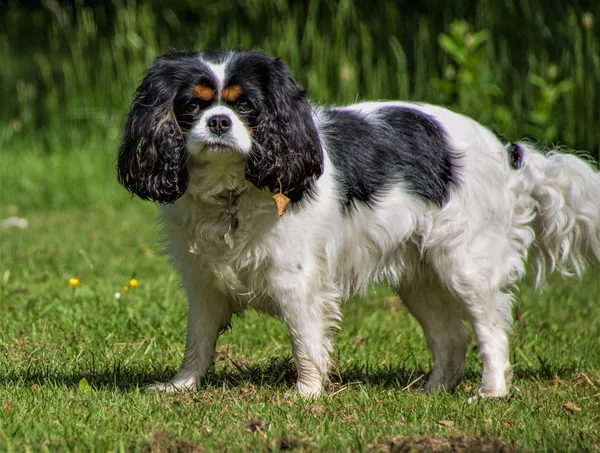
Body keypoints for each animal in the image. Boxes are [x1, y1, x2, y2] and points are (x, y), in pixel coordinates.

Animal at [118, 48, 600, 396]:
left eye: (247, 108)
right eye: (191, 106)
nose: (218, 121)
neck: (231, 191)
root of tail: (506, 151)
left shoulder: (298, 282)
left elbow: (306, 340)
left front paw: (306, 395)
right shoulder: (203, 284)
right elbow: (198, 341)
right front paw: (181, 387)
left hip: (466, 265)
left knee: (491, 328)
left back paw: (492, 392)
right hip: (419, 278)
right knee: (452, 338)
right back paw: (431, 393)